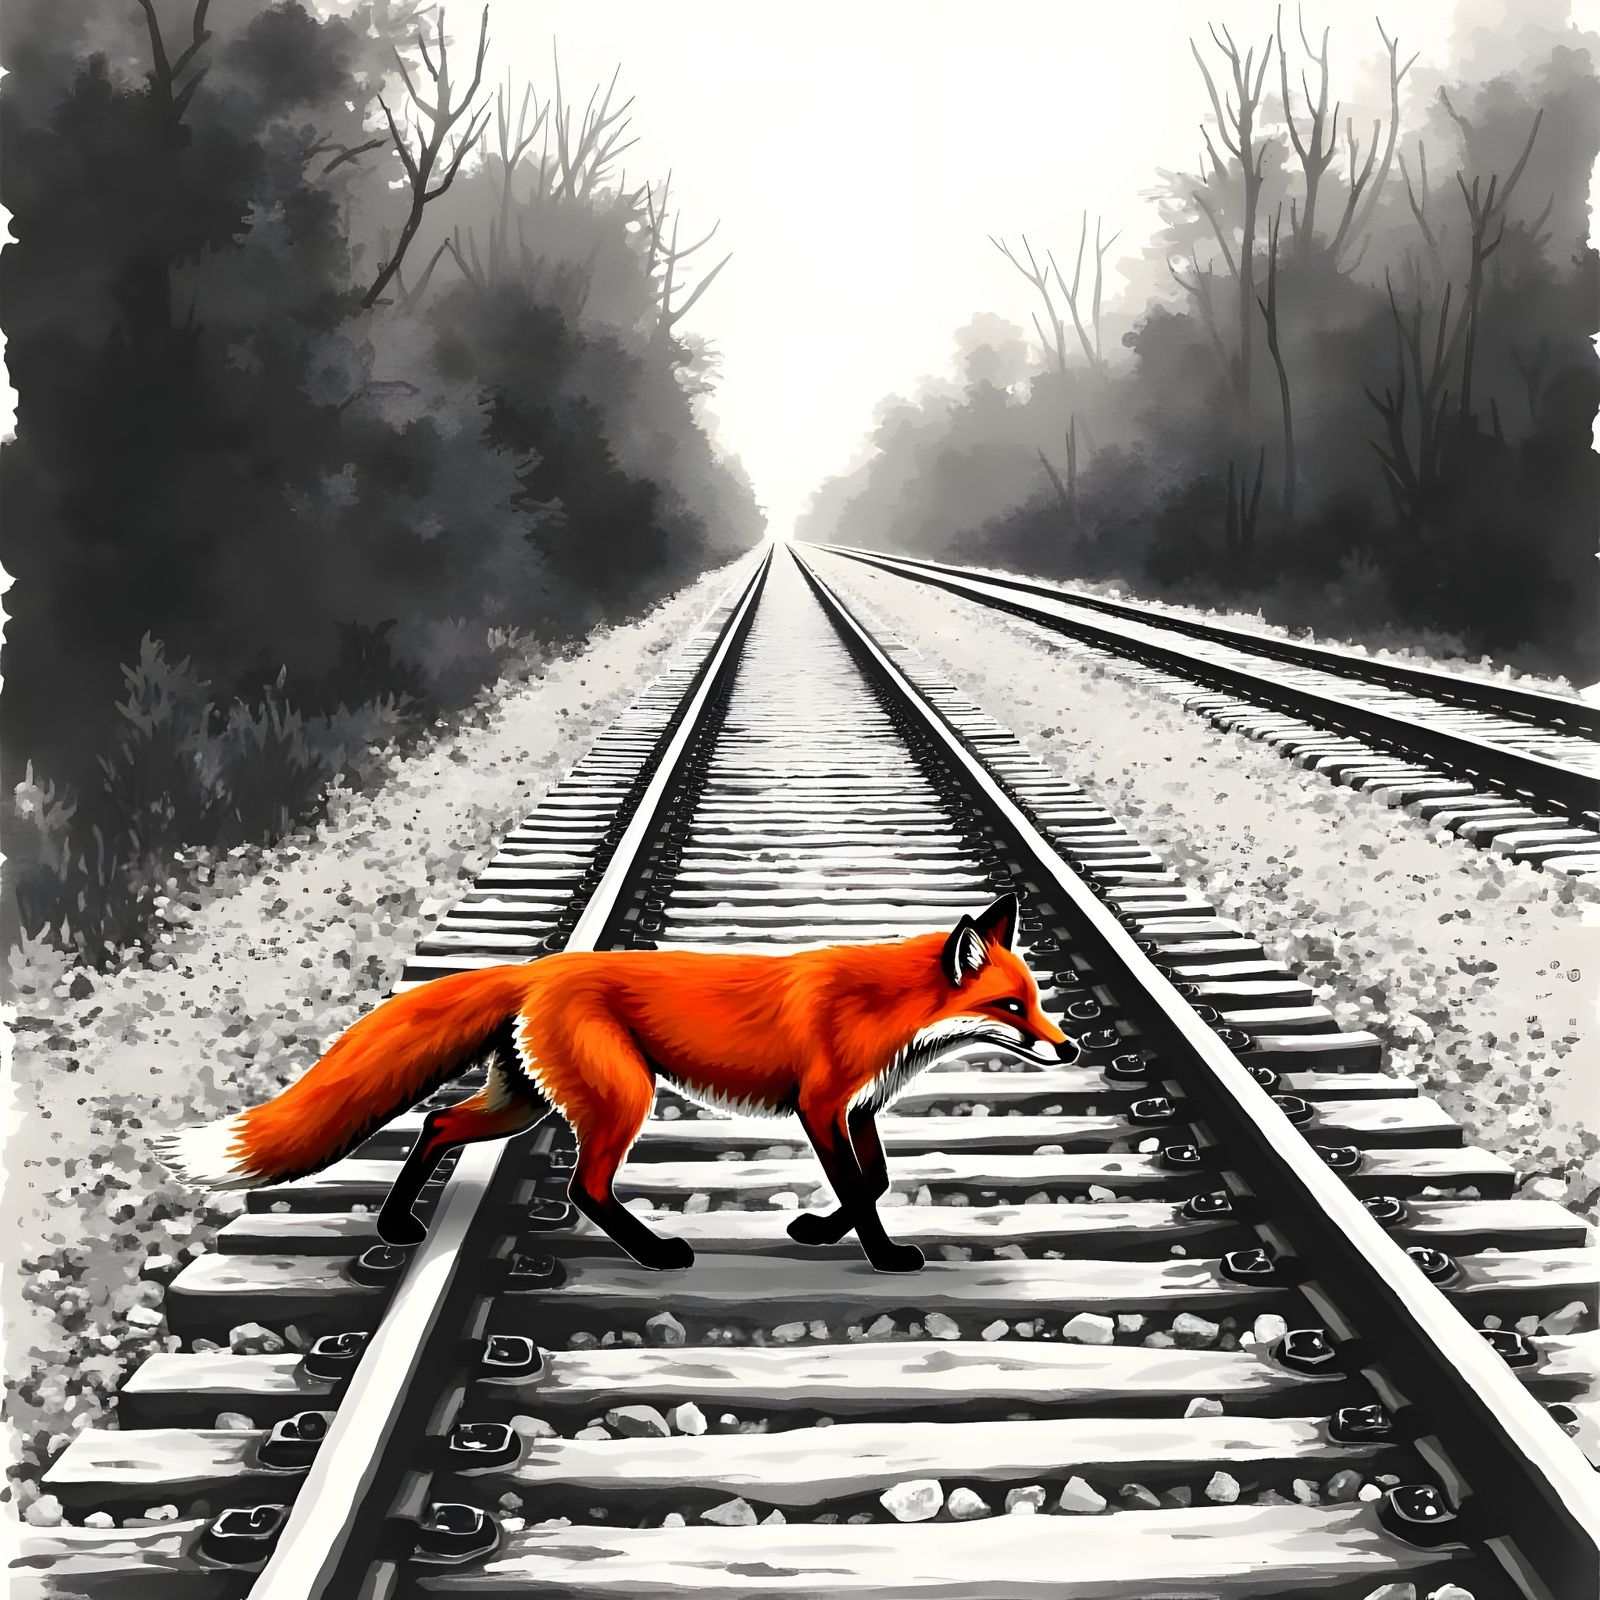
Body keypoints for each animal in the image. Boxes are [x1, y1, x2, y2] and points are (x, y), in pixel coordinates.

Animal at [158, 893, 1076, 1273]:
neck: (886, 1007)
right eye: (1011, 1007)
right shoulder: (820, 1106)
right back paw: (656, 1252)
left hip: (522, 1103)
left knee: (437, 1125)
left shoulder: (855, 1110)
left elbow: (875, 1180)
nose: (1068, 1049)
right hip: (620, 1099)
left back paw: (396, 1226)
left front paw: (816, 1231)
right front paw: (881, 1257)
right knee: (584, 1186)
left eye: (1038, 1000)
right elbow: (861, 1187)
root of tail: (538, 970)